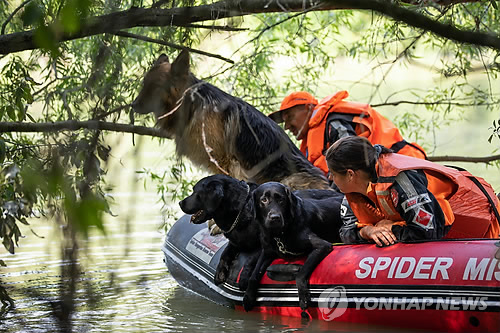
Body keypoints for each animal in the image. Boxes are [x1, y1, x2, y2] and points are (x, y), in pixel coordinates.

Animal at [132, 49, 332, 189]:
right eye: (143, 84)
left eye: (154, 87)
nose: (132, 105)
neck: (191, 104)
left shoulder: (227, 163)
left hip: (289, 180)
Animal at [242, 182, 344, 312]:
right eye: (263, 200)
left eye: (281, 199)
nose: (275, 217)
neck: (279, 234)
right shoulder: (267, 252)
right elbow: (254, 275)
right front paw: (248, 297)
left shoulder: (323, 245)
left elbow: (300, 274)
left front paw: (303, 298)